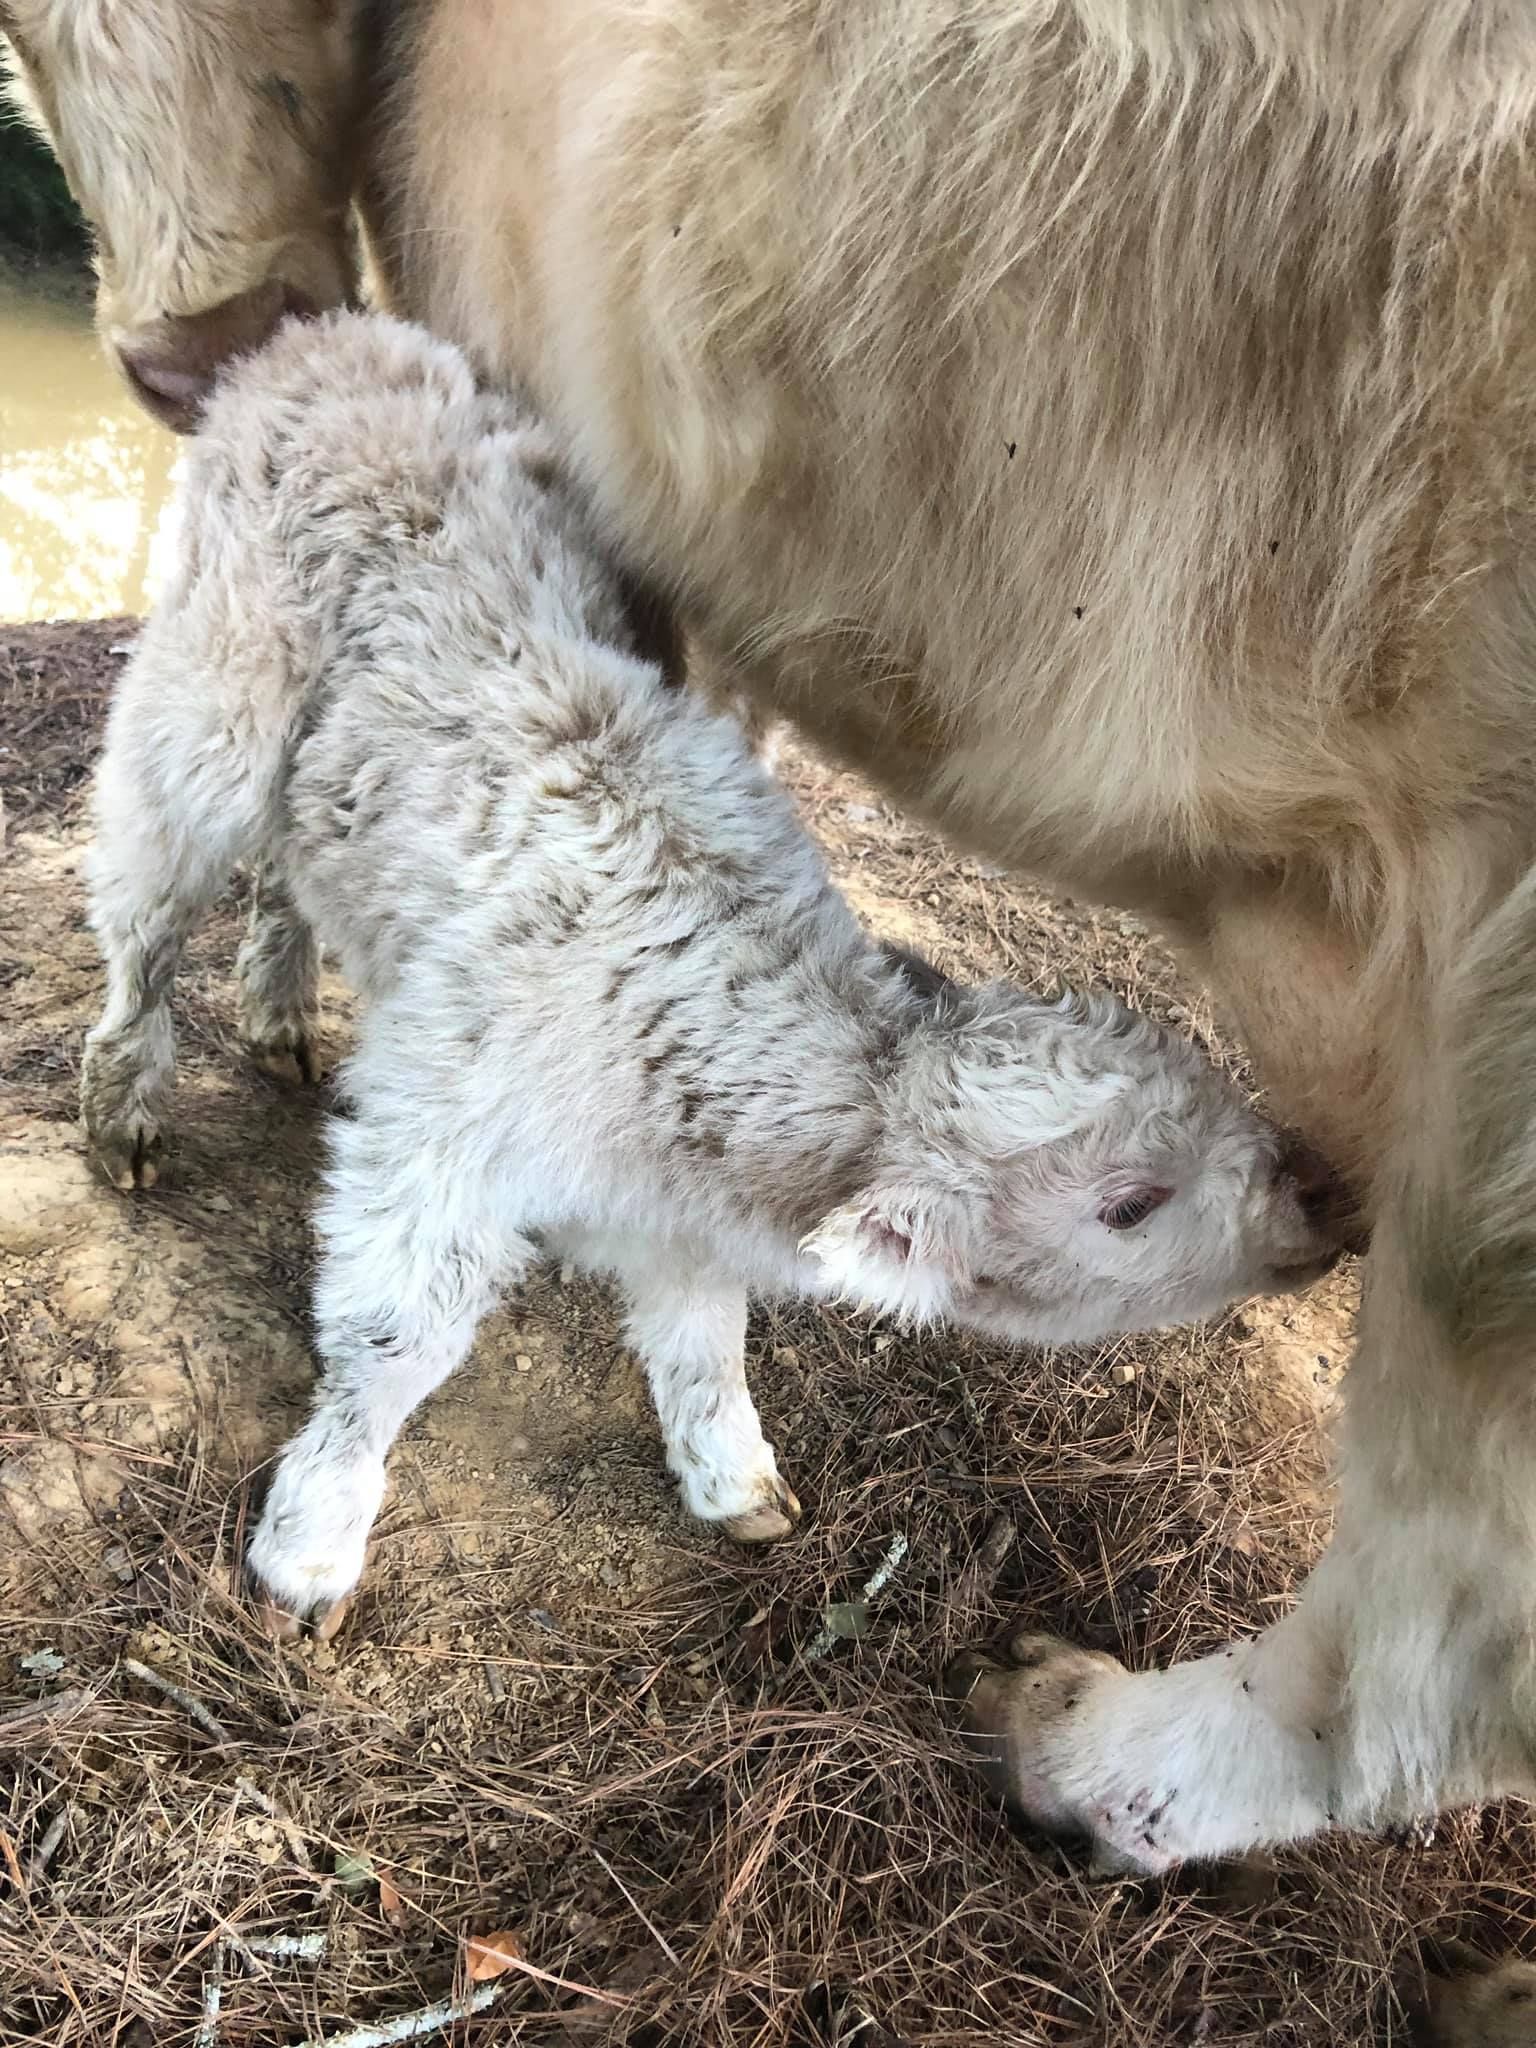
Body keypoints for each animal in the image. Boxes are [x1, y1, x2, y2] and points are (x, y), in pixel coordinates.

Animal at [78, 311, 1343, 1638]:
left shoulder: (680, 1219)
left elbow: (703, 1338)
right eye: (1130, 1203)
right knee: (148, 899)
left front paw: (735, 1476)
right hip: (210, 704)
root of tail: (328, 336)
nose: (1328, 1193)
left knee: (289, 859)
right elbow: (394, 1341)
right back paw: (125, 1107)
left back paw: (279, 1008)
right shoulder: (438, 1146)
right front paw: (312, 1541)